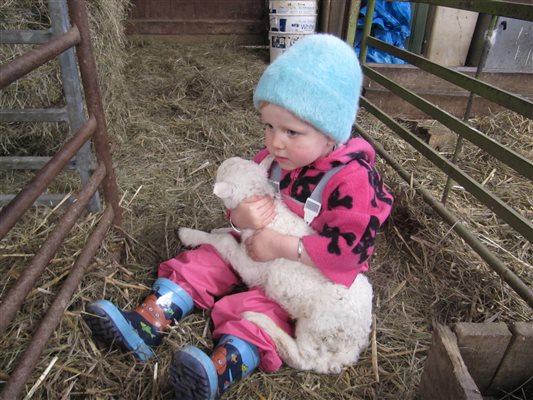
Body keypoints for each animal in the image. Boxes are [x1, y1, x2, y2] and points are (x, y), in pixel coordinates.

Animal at [177, 156, 372, 376]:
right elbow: (228, 233)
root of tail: (356, 342)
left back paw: (257, 319)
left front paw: (188, 234)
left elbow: (226, 242)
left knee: (304, 358)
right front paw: (217, 230)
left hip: (318, 325)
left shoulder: (252, 267)